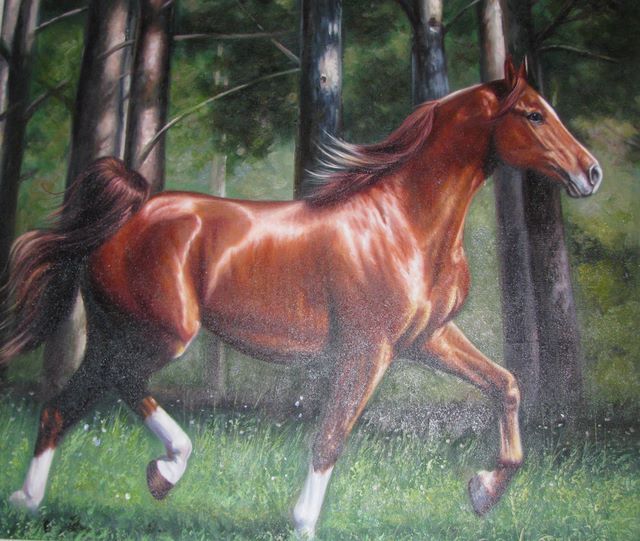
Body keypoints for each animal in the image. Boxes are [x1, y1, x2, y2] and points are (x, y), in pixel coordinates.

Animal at [2, 58, 601, 537]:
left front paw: (481, 492)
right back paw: (150, 473)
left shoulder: (428, 339)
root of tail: (128, 214)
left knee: (66, 405)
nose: (590, 172)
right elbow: (331, 437)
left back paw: (50, 496)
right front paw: (303, 523)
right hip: (159, 334)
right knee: (105, 389)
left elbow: (507, 385)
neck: (404, 223)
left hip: (118, 332)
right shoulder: (369, 349)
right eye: (533, 114)